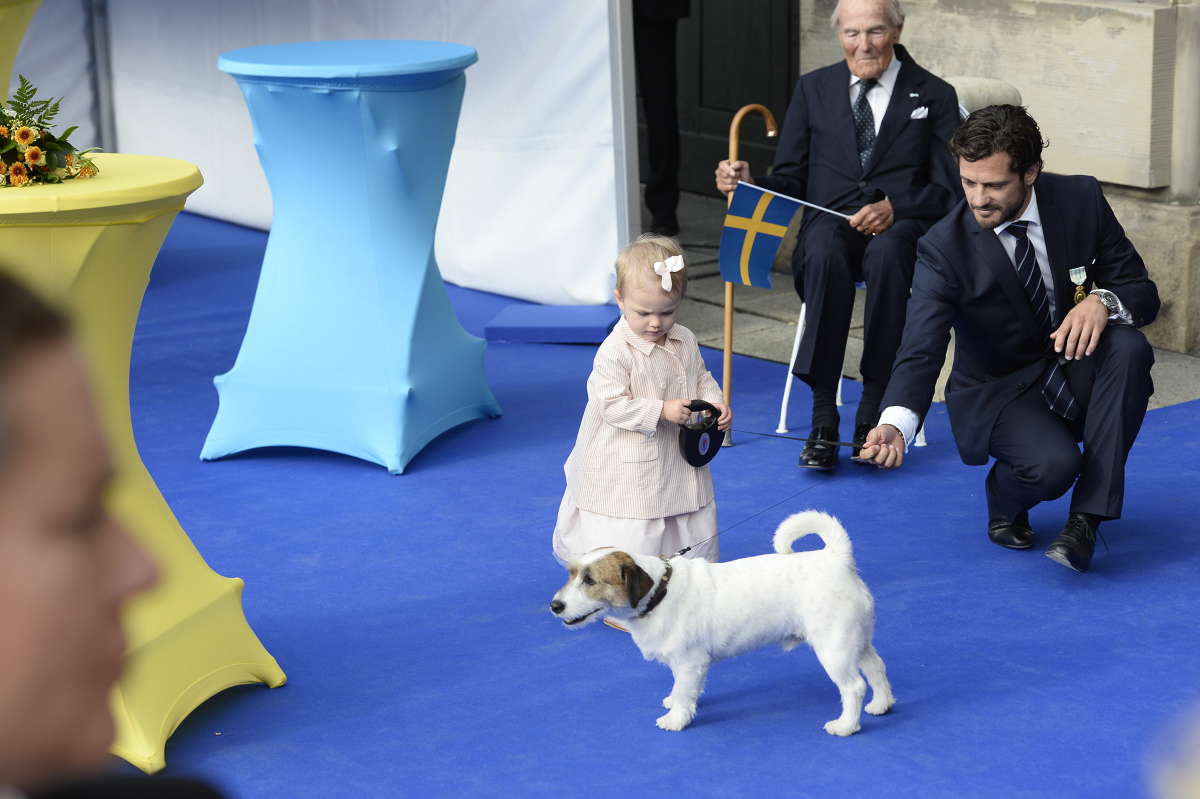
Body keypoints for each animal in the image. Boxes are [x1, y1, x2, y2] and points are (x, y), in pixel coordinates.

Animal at [549, 511, 892, 734]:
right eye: (572, 574)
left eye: (590, 580)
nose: (555, 606)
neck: (661, 591)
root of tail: (836, 559)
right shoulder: (688, 665)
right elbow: (683, 689)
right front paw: (678, 702)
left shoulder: (689, 663)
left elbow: (684, 692)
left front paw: (676, 719)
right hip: (856, 640)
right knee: (876, 668)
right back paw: (881, 705)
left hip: (834, 648)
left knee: (854, 686)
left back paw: (846, 725)